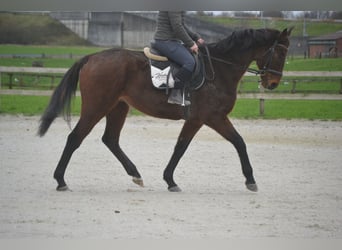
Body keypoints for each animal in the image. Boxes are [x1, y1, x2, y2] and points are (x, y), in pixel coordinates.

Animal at [38, 27, 294, 191]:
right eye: (281, 52)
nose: (273, 83)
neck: (220, 69)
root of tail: (92, 57)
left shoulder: (206, 118)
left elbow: (186, 145)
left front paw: (169, 179)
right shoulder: (208, 117)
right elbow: (231, 142)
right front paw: (250, 179)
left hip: (118, 107)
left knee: (110, 139)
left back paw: (135, 175)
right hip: (97, 106)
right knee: (75, 138)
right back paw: (60, 180)